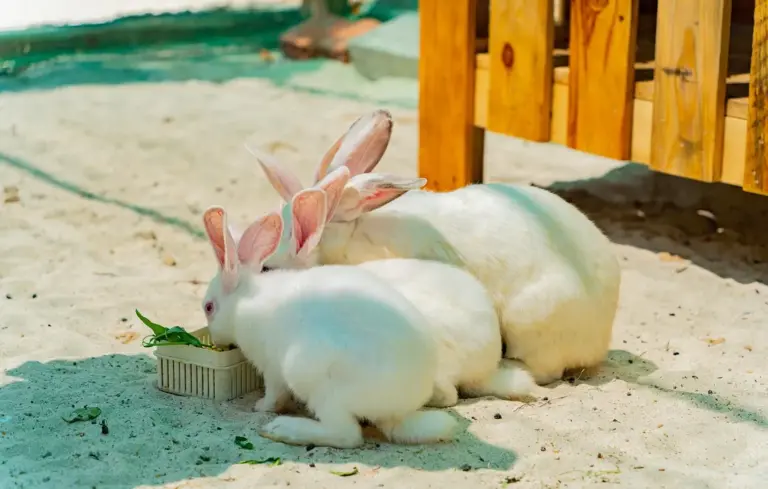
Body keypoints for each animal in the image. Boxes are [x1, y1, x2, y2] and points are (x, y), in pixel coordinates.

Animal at [200, 191, 457, 449]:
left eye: (209, 307)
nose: (216, 340)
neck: (243, 300)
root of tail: (398, 408)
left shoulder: (272, 367)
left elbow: (274, 394)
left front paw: (260, 406)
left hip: (312, 378)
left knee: (346, 434)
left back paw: (282, 429)